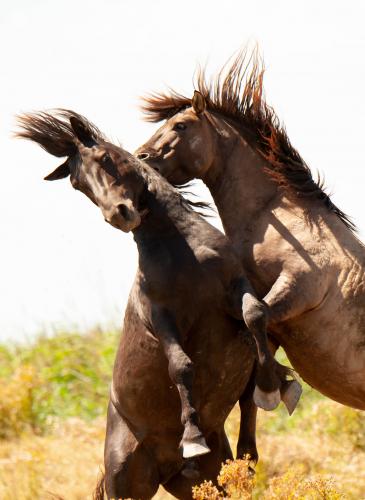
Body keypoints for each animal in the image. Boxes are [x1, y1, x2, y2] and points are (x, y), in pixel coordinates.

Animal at [16, 111, 296, 498]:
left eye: (105, 157)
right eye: (77, 183)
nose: (120, 214)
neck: (182, 251)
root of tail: (170, 468)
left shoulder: (234, 287)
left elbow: (255, 315)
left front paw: (271, 385)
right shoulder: (161, 317)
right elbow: (180, 364)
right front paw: (191, 437)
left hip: (204, 482)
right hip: (126, 482)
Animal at [135, 48, 364, 462]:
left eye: (180, 126)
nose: (140, 156)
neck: (275, 213)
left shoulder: (301, 286)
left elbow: (255, 317)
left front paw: (275, 388)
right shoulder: (253, 302)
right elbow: (251, 341)